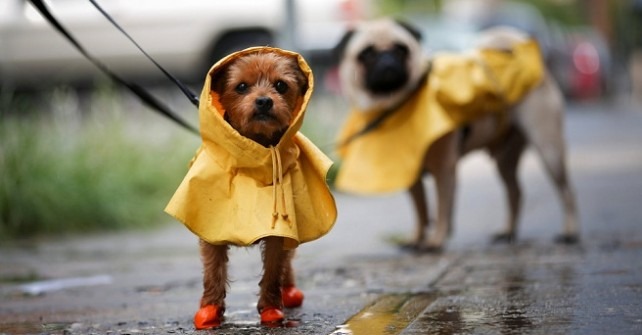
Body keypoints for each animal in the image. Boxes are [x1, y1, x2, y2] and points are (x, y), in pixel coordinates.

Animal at [332, 17, 576, 249]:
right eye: (366, 54)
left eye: (401, 49)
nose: (387, 61)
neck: (396, 106)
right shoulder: (411, 175)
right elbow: (421, 210)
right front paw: (416, 238)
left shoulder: (445, 168)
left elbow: (441, 208)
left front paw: (434, 242)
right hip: (505, 159)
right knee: (515, 191)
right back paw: (508, 231)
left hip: (549, 149)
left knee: (566, 191)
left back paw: (569, 232)